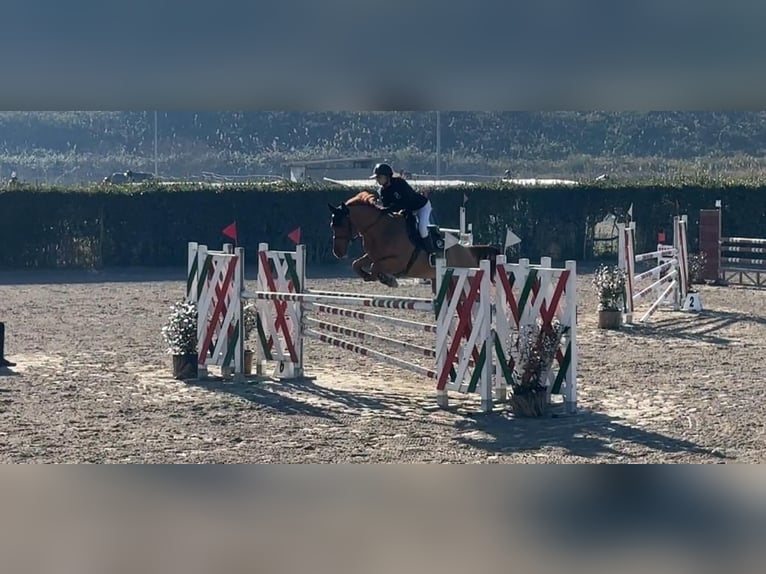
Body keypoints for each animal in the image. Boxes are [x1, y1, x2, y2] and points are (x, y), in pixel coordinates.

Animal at [328, 192, 500, 290]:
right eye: (332, 225)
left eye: (342, 224)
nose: (338, 253)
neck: (380, 228)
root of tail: (468, 251)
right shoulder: (372, 256)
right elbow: (357, 264)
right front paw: (372, 276)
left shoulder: (399, 261)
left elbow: (375, 267)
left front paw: (389, 280)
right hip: (438, 280)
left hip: (461, 278)